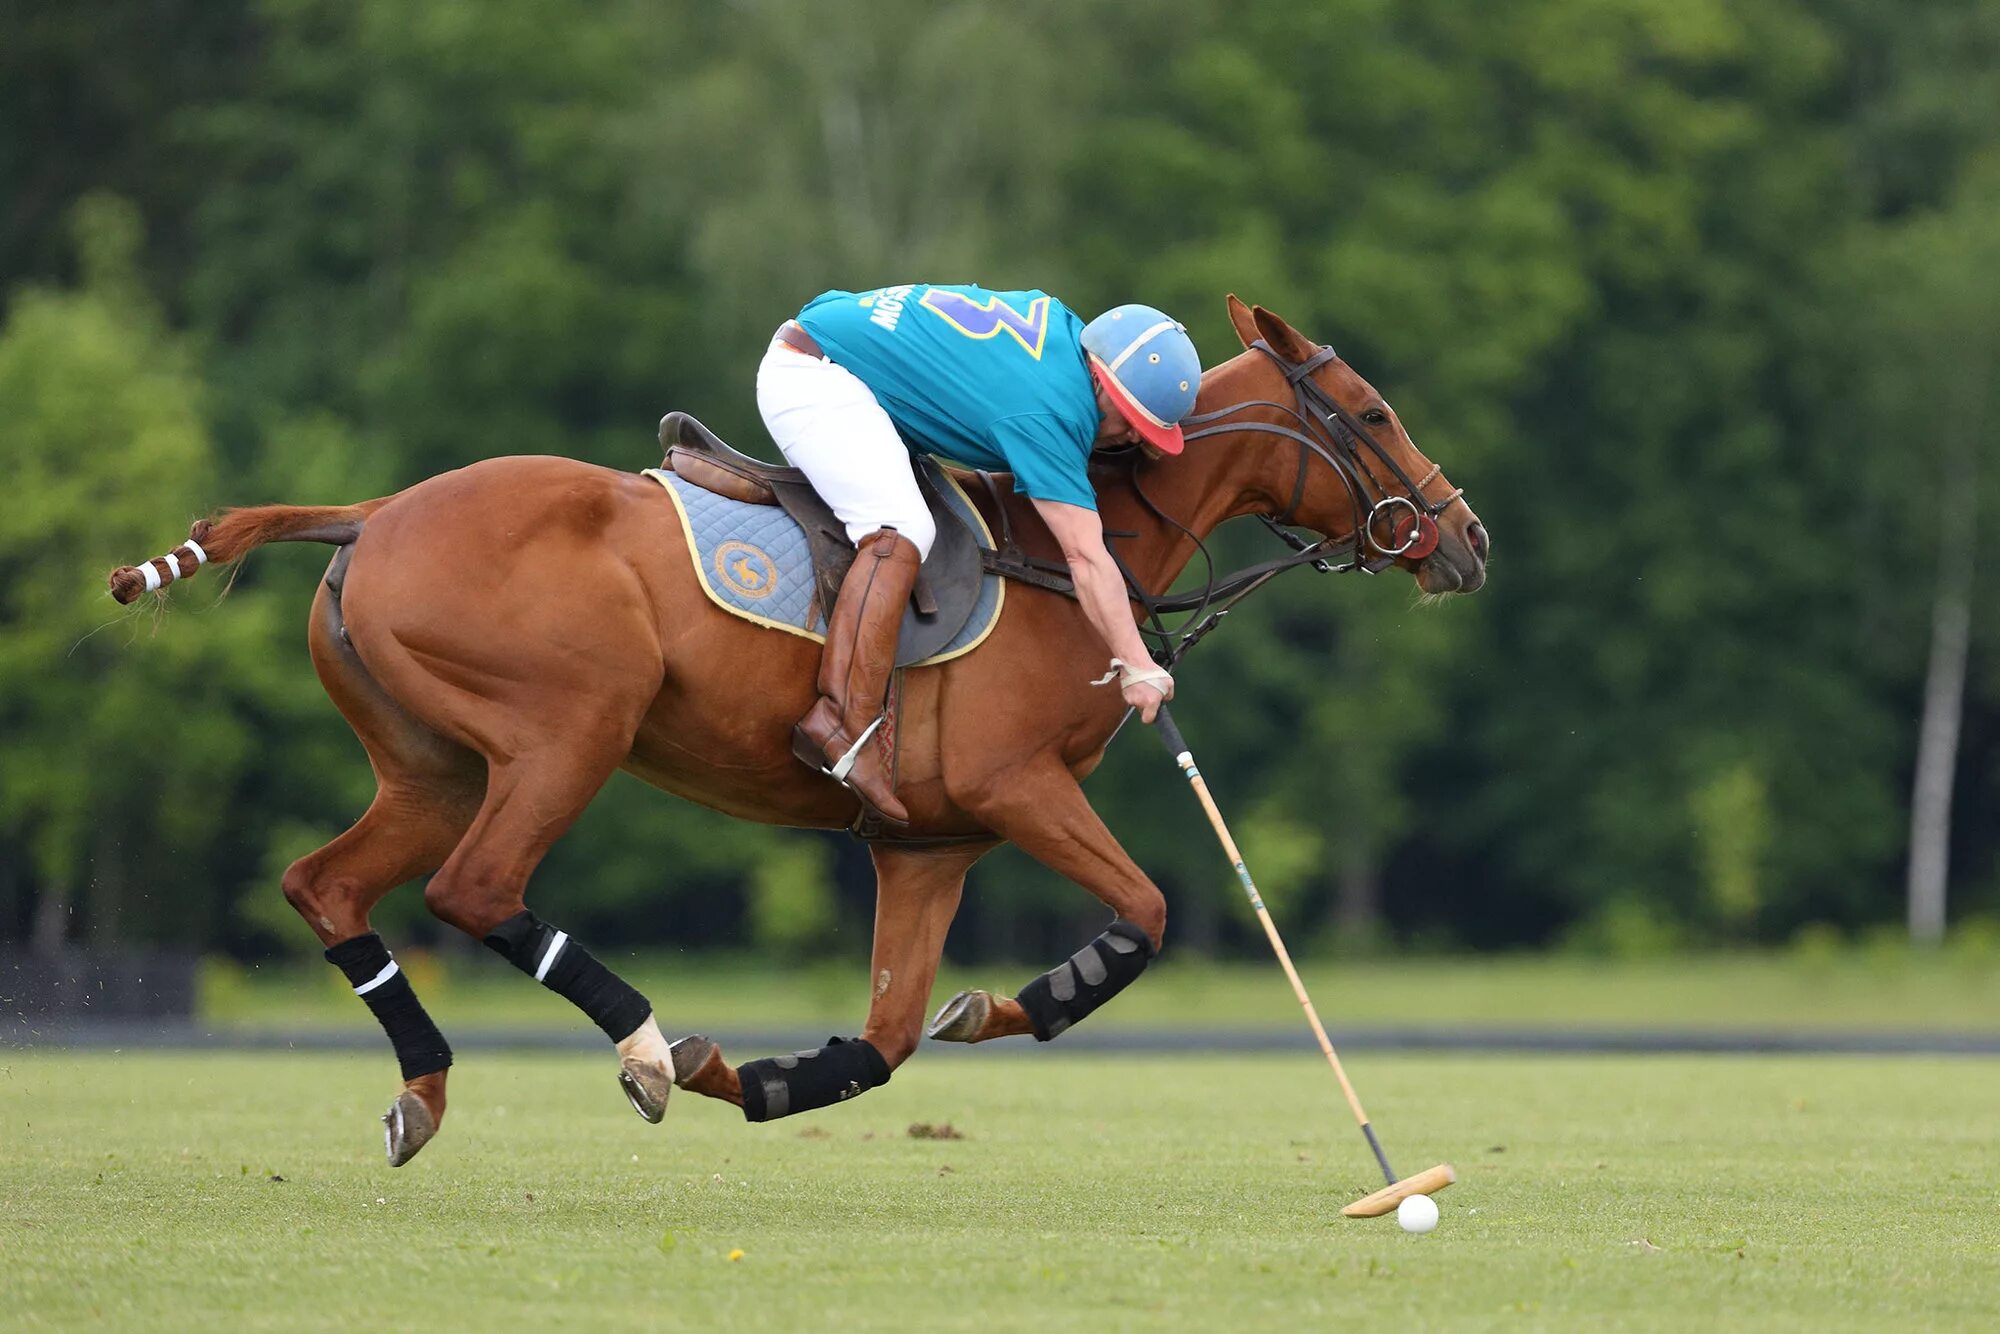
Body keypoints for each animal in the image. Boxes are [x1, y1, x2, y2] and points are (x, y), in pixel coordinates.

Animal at [109, 290, 1488, 1160]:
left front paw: (770, 1073)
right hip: (569, 731)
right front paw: (1028, 994)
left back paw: (428, 1089)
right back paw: (642, 1046)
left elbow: (886, 1036)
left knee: (327, 886)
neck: (1066, 542)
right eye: (1370, 413)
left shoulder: (927, 843)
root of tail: (374, 513)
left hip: (431, 761)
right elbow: (1142, 914)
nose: (1466, 539)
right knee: (475, 888)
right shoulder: (1016, 785)